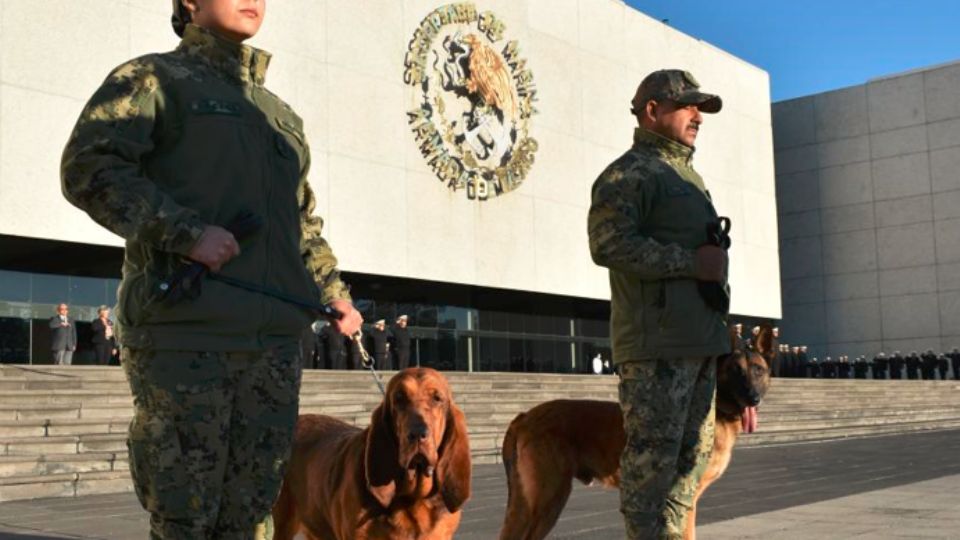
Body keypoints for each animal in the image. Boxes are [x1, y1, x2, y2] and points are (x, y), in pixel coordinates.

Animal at [498, 324, 776, 540]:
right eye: (735, 371)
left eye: (758, 371)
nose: (753, 398)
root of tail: (525, 416)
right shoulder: (683, 500)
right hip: (547, 500)